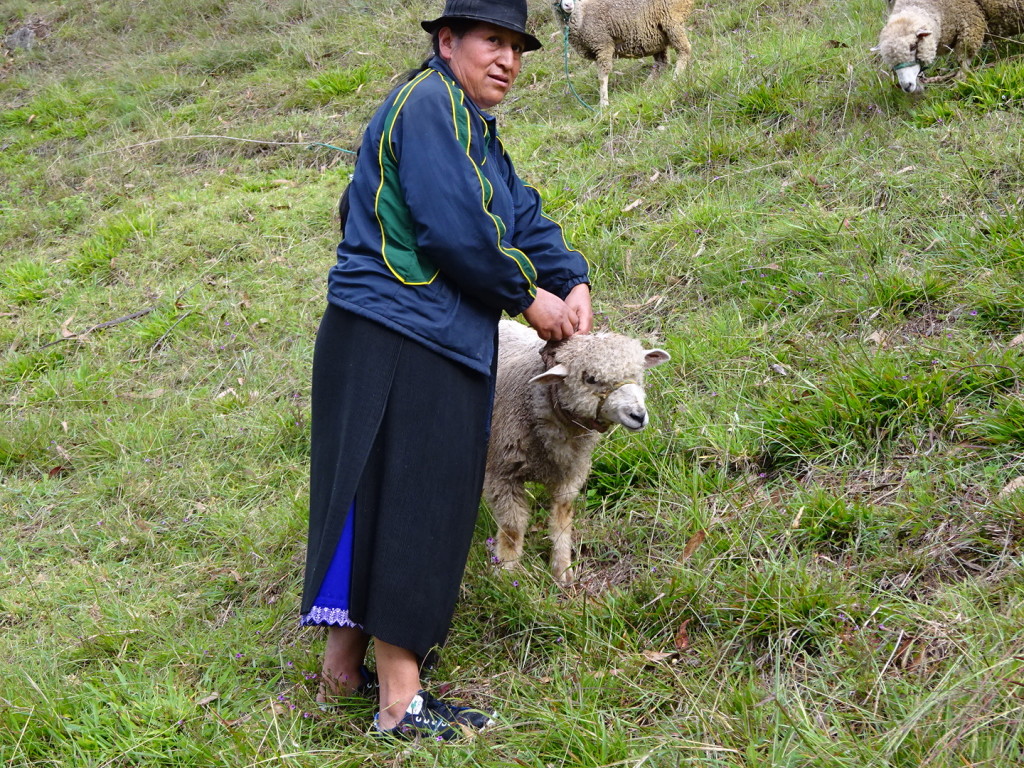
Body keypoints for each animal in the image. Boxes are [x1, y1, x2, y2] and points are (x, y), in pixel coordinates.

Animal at [485, 321, 671, 585]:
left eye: (638, 373)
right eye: (590, 379)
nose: (638, 415)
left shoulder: (571, 473)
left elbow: (562, 520)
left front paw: (563, 570)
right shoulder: (502, 473)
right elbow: (512, 527)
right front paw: (505, 573)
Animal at [552, 0, 696, 109]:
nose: (568, 5)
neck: (581, 14)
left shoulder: (603, 44)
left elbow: (602, 77)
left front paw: (604, 104)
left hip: (672, 20)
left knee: (684, 50)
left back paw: (675, 78)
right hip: (656, 36)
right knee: (662, 63)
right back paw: (646, 86)